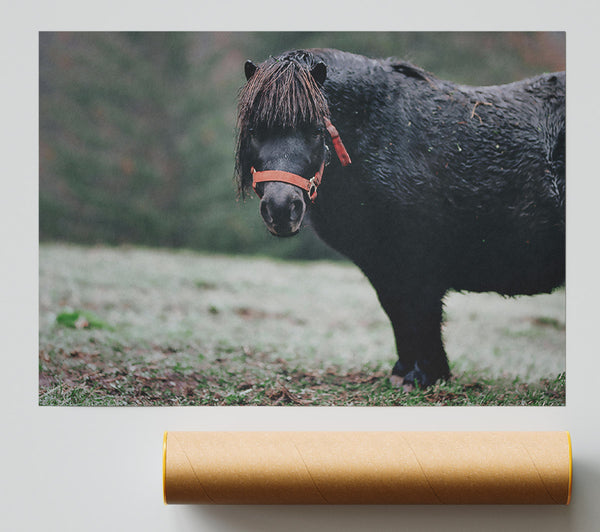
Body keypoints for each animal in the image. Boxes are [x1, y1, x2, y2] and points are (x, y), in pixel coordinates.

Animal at [233, 48, 564, 390]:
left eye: (315, 130)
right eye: (254, 131)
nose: (281, 209)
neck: (382, 134)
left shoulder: (420, 264)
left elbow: (422, 315)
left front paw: (425, 376)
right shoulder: (385, 266)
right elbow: (399, 315)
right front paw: (404, 372)